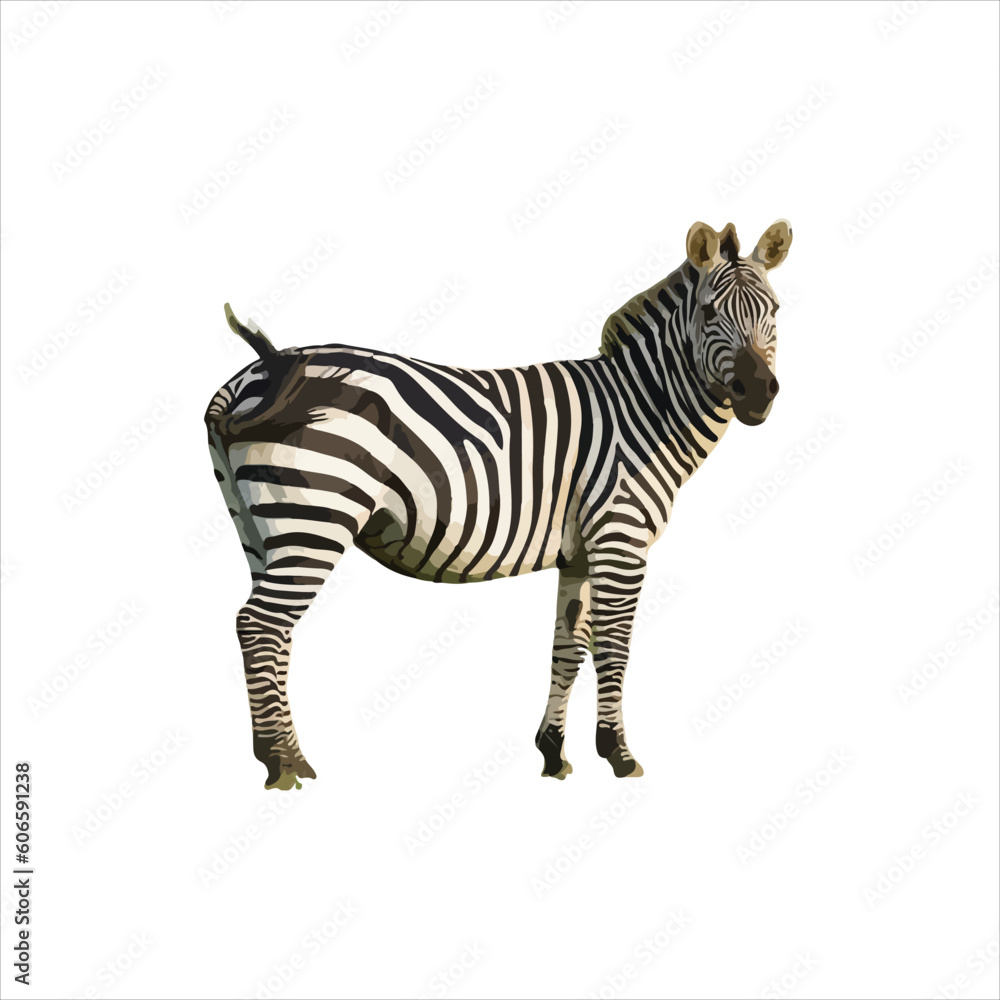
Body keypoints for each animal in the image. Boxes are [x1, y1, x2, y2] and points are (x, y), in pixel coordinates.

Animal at [205, 219, 792, 789]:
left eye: (775, 311)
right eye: (710, 312)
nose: (760, 393)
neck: (641, 410)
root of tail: (260, 372)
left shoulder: (579, 553)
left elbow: (567, 646)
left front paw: (553, 753)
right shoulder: (620, 538)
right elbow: (614, 646)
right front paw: (618, 754)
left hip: (259, 529)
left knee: (269, 633)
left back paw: (284, 756)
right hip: (314, 516)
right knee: (259, 626)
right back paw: (282, 763)